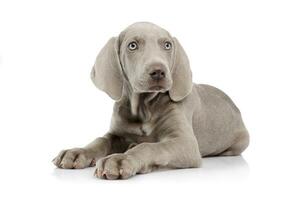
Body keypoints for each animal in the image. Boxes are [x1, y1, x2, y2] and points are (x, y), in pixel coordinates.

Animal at [52, 21, 250, 180]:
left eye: (167, 45)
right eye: (132, 45)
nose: (158, 71)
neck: (144, 107)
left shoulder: (186, 143)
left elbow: (150, 147)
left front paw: (121, 159)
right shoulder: (116, 132)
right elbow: (100, 140)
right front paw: (76, 152)